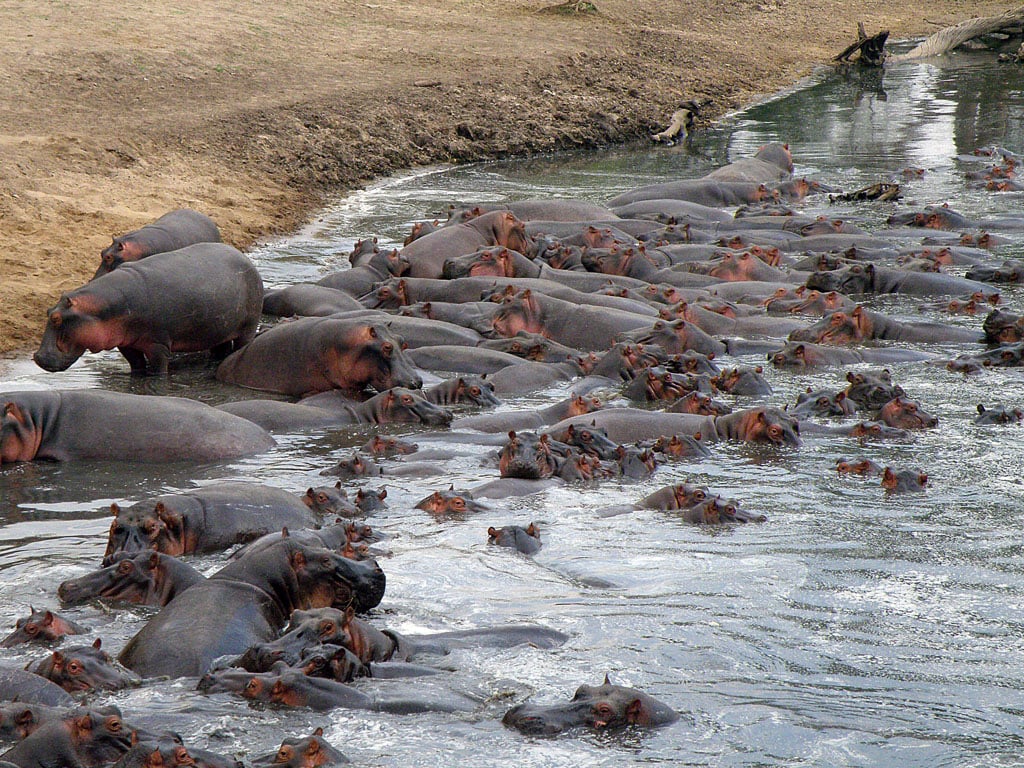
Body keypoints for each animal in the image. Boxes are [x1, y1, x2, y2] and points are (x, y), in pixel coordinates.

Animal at [36, 244, 263, 375]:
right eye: (47, 311)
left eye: (56, 318)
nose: (37, 357)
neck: (100, 309)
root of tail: (245, 258)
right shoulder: (126, 344)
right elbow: (136, 366)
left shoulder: (158, 345)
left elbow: (158, 370)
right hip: (217, 329)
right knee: (219, 349)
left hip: (248, 326)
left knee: (241, 344)